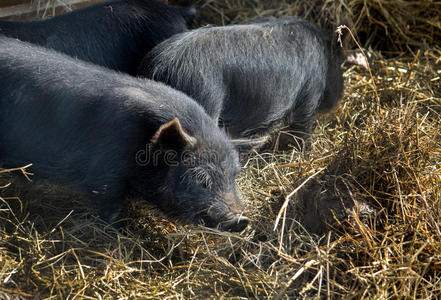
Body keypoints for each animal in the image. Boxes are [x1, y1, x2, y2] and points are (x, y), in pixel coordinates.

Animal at [0, 35, 248, 232]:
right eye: (200, 179)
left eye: (234, 174)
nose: (240, 220)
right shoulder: (104, 177)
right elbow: (108, 208)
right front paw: (114, 230)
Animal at [139, 16, 346, 148]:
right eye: (337, 63)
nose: (339, 96)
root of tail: (157, 67)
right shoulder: (310, 93)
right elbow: (302, 127)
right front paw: (305, 150)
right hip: (206, 94)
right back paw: (260, 141)